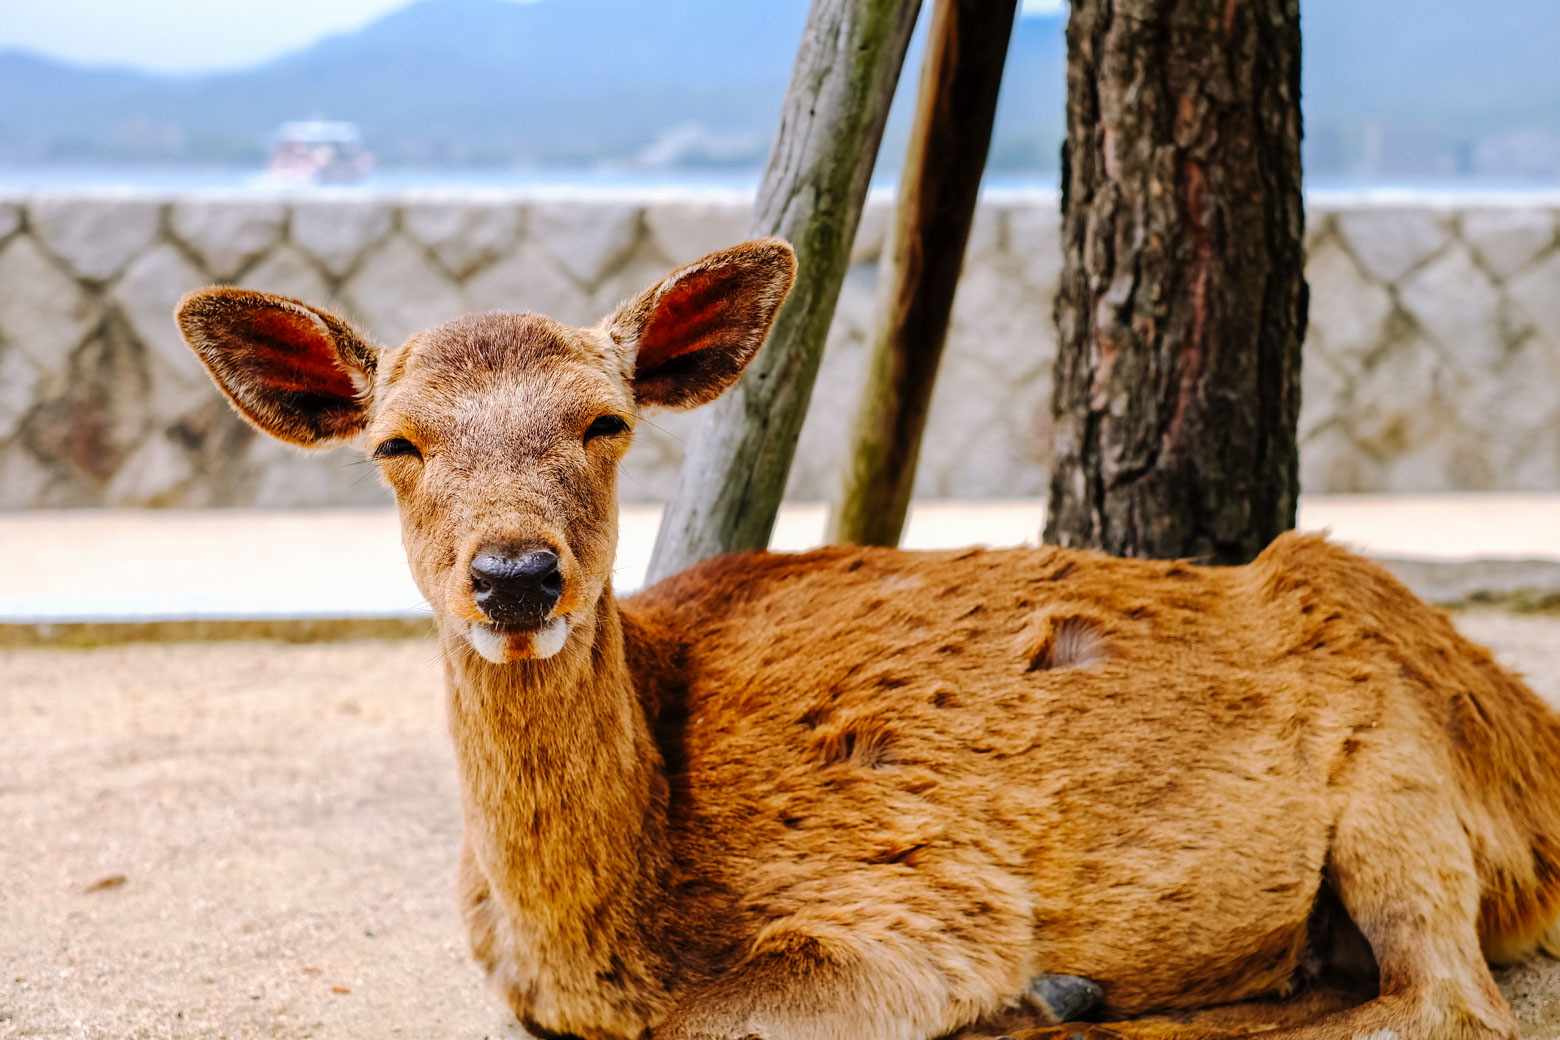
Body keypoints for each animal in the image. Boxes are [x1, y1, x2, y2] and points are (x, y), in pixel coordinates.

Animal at [177, 235, 1560, 1040]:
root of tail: (1535, 744)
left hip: (1404, 777)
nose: (516, 576)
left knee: (1446, 1001)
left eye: (605, 421)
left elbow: (708, 1020)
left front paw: (1020, 992)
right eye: (395, 444)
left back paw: (1070, 1002)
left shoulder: (914, 902)